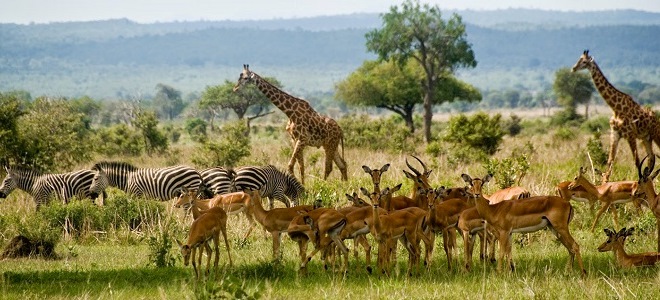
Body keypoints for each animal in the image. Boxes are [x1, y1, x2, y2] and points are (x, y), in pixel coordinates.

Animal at [572, 49, 660, 183]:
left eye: (585, 62)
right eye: (579, 59)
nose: (574, 68)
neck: (616, 108)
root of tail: (655, 117)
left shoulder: (630, 135)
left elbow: (636, 160)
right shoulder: (615, 134)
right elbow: (610, 161)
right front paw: (604, 182)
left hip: (655, 133)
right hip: (646, 137)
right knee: (651, 157)